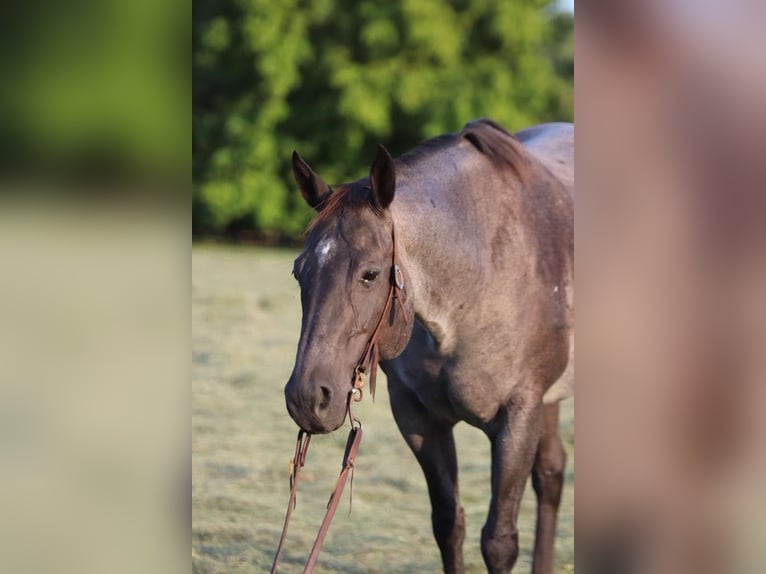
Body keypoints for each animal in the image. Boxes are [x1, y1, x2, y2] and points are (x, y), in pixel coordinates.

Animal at [284, 119, 573, 573]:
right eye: (299, 271)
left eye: (370, 274)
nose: (307, 398)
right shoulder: (419, 418)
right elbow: (448, 524)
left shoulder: (518, 417)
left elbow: (499, 541)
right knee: (551, 473)